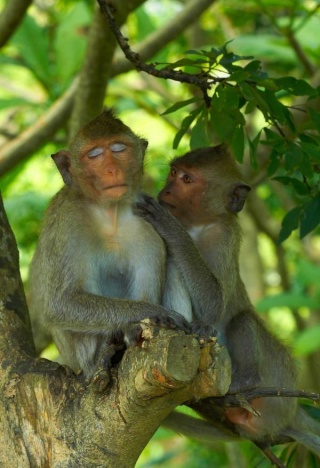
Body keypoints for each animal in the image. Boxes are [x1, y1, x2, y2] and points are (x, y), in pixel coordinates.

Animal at [28, 109, 191, 380]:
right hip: (81, 360)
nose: (112, 170)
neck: (109, 212)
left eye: (118, 149)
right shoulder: (66, 220)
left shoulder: (147, 224)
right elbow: (60, 304)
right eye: (94, 155)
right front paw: (151, 314)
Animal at [138, 146, 320, 458]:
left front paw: (169, 226)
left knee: (243, 321)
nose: (167, 189)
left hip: (277, 387)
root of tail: (293, 411)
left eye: (187, 179)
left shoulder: (224, 237)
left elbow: (215, 304)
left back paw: (243, 384)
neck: (198, 225)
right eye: (174, 172)